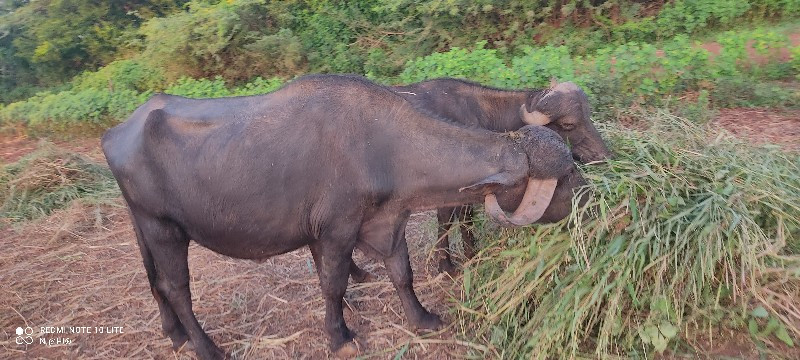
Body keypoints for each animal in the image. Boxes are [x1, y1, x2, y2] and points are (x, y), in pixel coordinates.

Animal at [103, 74, 584, 358]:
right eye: (566, 173)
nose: (590, 192)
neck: (381, 145)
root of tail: (116, 133)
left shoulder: (387, 221)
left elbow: (402, 272)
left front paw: (422, 318)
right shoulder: (335, 232)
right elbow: (332, 285)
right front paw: (339, 335)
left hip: (143, 227)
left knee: (154, 281)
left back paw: (174, 334)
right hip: (163, 228)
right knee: (176, 288)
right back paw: (206, 347)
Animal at [384, 79, 608, 274]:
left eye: (588, 115)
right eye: (569, 125)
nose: (604, 155)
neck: (476, 112)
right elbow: (453, 220)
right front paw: (452, 263)